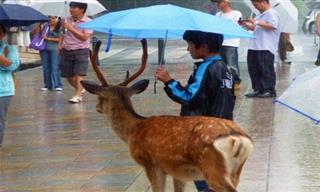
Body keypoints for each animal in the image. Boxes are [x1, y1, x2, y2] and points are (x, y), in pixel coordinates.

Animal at [81, 39, 254, 192]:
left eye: (100, 97)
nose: (97, 107)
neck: (133, 130)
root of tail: (238, 139)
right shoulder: (178, 172)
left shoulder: (152, 163)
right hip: (235, 170)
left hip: (212, 167)